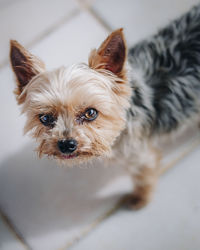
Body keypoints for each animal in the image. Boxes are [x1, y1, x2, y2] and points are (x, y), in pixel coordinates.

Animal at [9, 4, 200, 209]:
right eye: (45, 118)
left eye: (91, 113)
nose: (66, 144)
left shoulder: (139, 155)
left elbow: (144, 177)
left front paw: (140, 198)